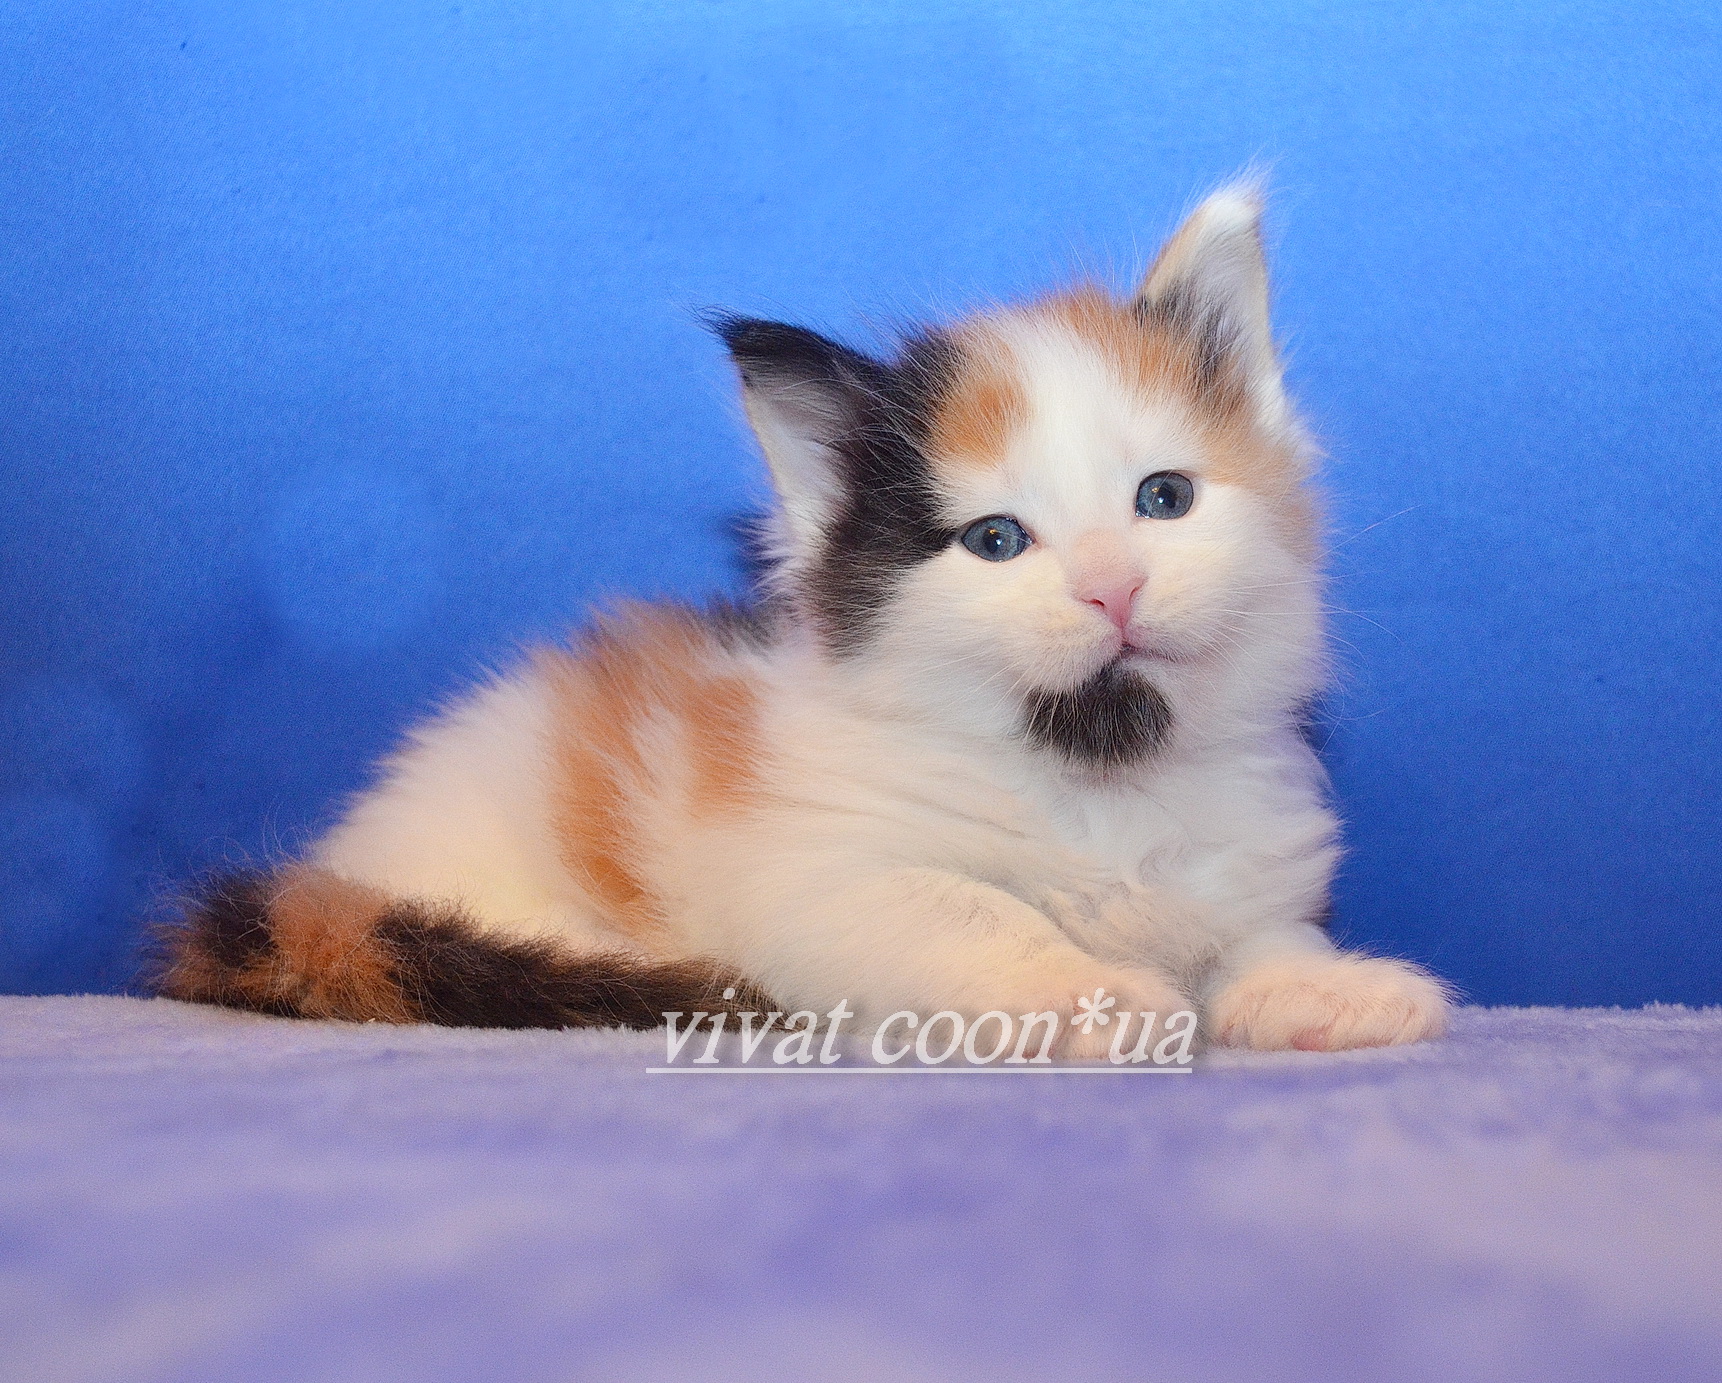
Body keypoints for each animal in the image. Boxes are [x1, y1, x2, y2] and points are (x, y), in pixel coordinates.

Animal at [158, 185, 1451, 1057]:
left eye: (1164, 500)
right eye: (996, 542)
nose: (1111, 588)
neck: (1098, 774)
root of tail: (335, 875)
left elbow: (1257, 937)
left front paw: (1330, 986)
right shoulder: (822, 875)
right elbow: (973, 908)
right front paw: (1105, 994)